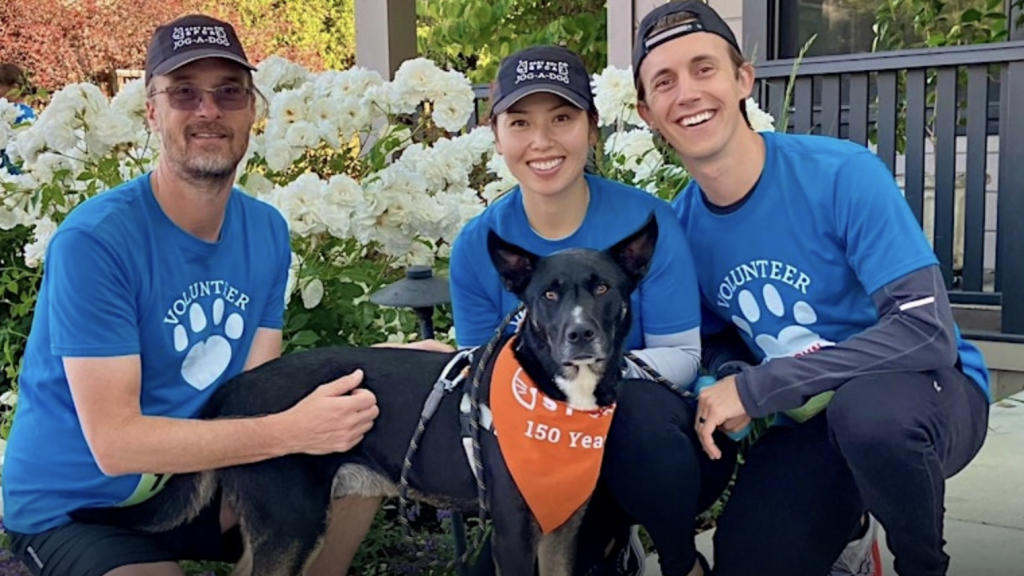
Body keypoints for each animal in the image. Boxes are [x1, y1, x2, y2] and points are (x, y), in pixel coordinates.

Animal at [77, 213, 655, 569]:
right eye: (549, 296)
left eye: (602, 287)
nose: (580, 334)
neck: (554, 397)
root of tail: (235, 387)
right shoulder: (514, 533)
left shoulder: (563, 530)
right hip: (292, 523)